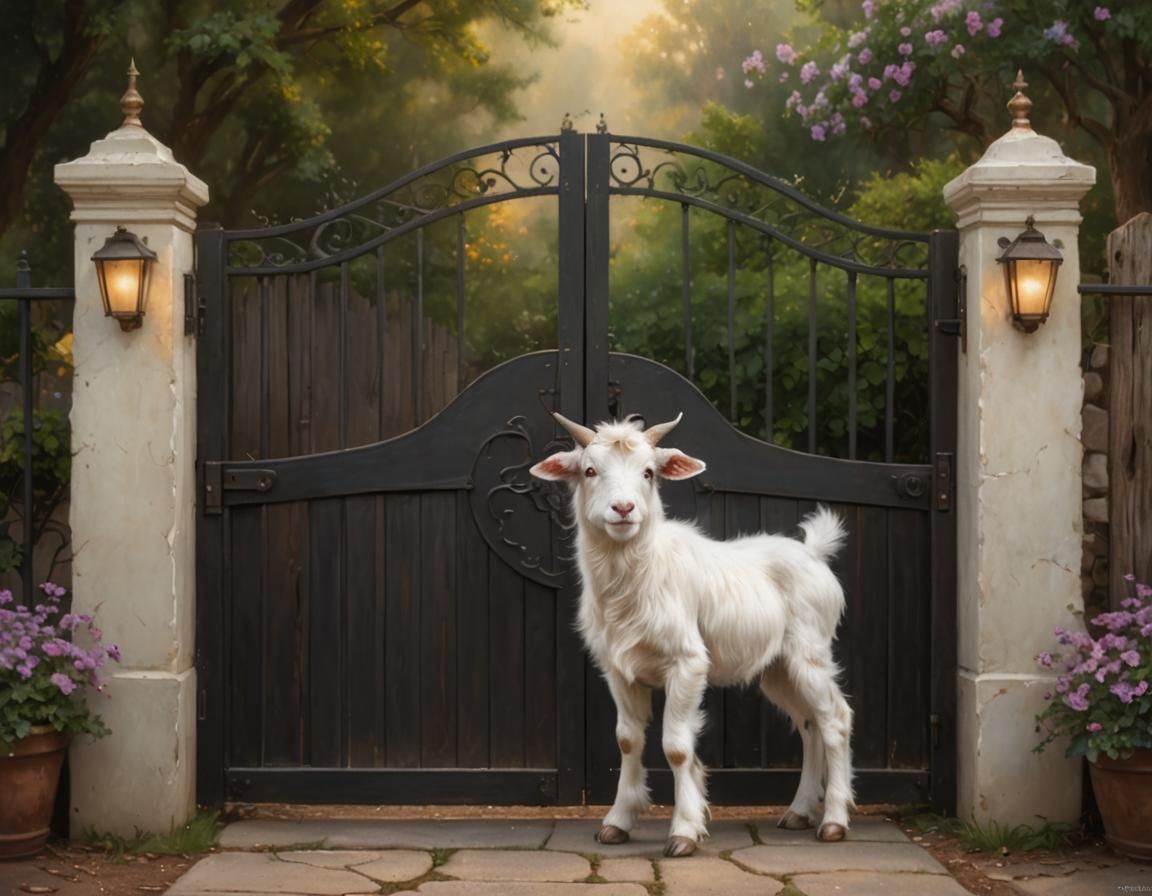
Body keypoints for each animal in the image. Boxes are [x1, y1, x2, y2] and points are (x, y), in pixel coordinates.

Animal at [530, 412, 854, 857]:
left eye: (649, 473)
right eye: (589, 471)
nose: (623, 508)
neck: (640, 577)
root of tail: (813, 552)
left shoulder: (688, 663)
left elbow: (677, 747)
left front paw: (684, 831)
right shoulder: (618, 668)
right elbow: (627, 740)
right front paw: (617, 822)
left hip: (811, 650)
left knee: (835, 720)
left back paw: (834, 821)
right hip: (777, 669)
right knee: (810, 725)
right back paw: (799, 812)